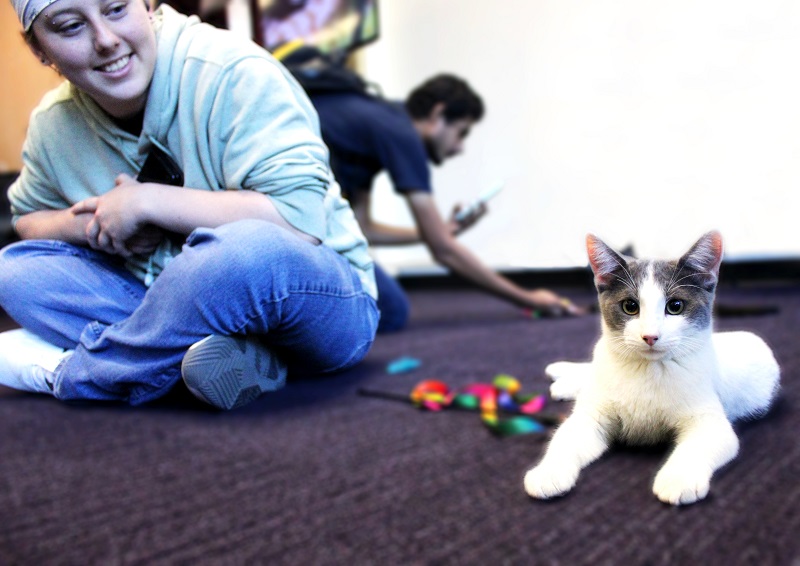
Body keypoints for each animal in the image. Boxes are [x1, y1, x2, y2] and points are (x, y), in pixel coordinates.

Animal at [524, 233, 780, 508]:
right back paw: (563, 372)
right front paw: (548, 473)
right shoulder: (592, 414)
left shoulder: (710, 419)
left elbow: (703, 442)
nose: (650, 336)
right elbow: (566, 436)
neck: (647, 369)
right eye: (630, 306)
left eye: (675, 306)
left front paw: (679, 479)